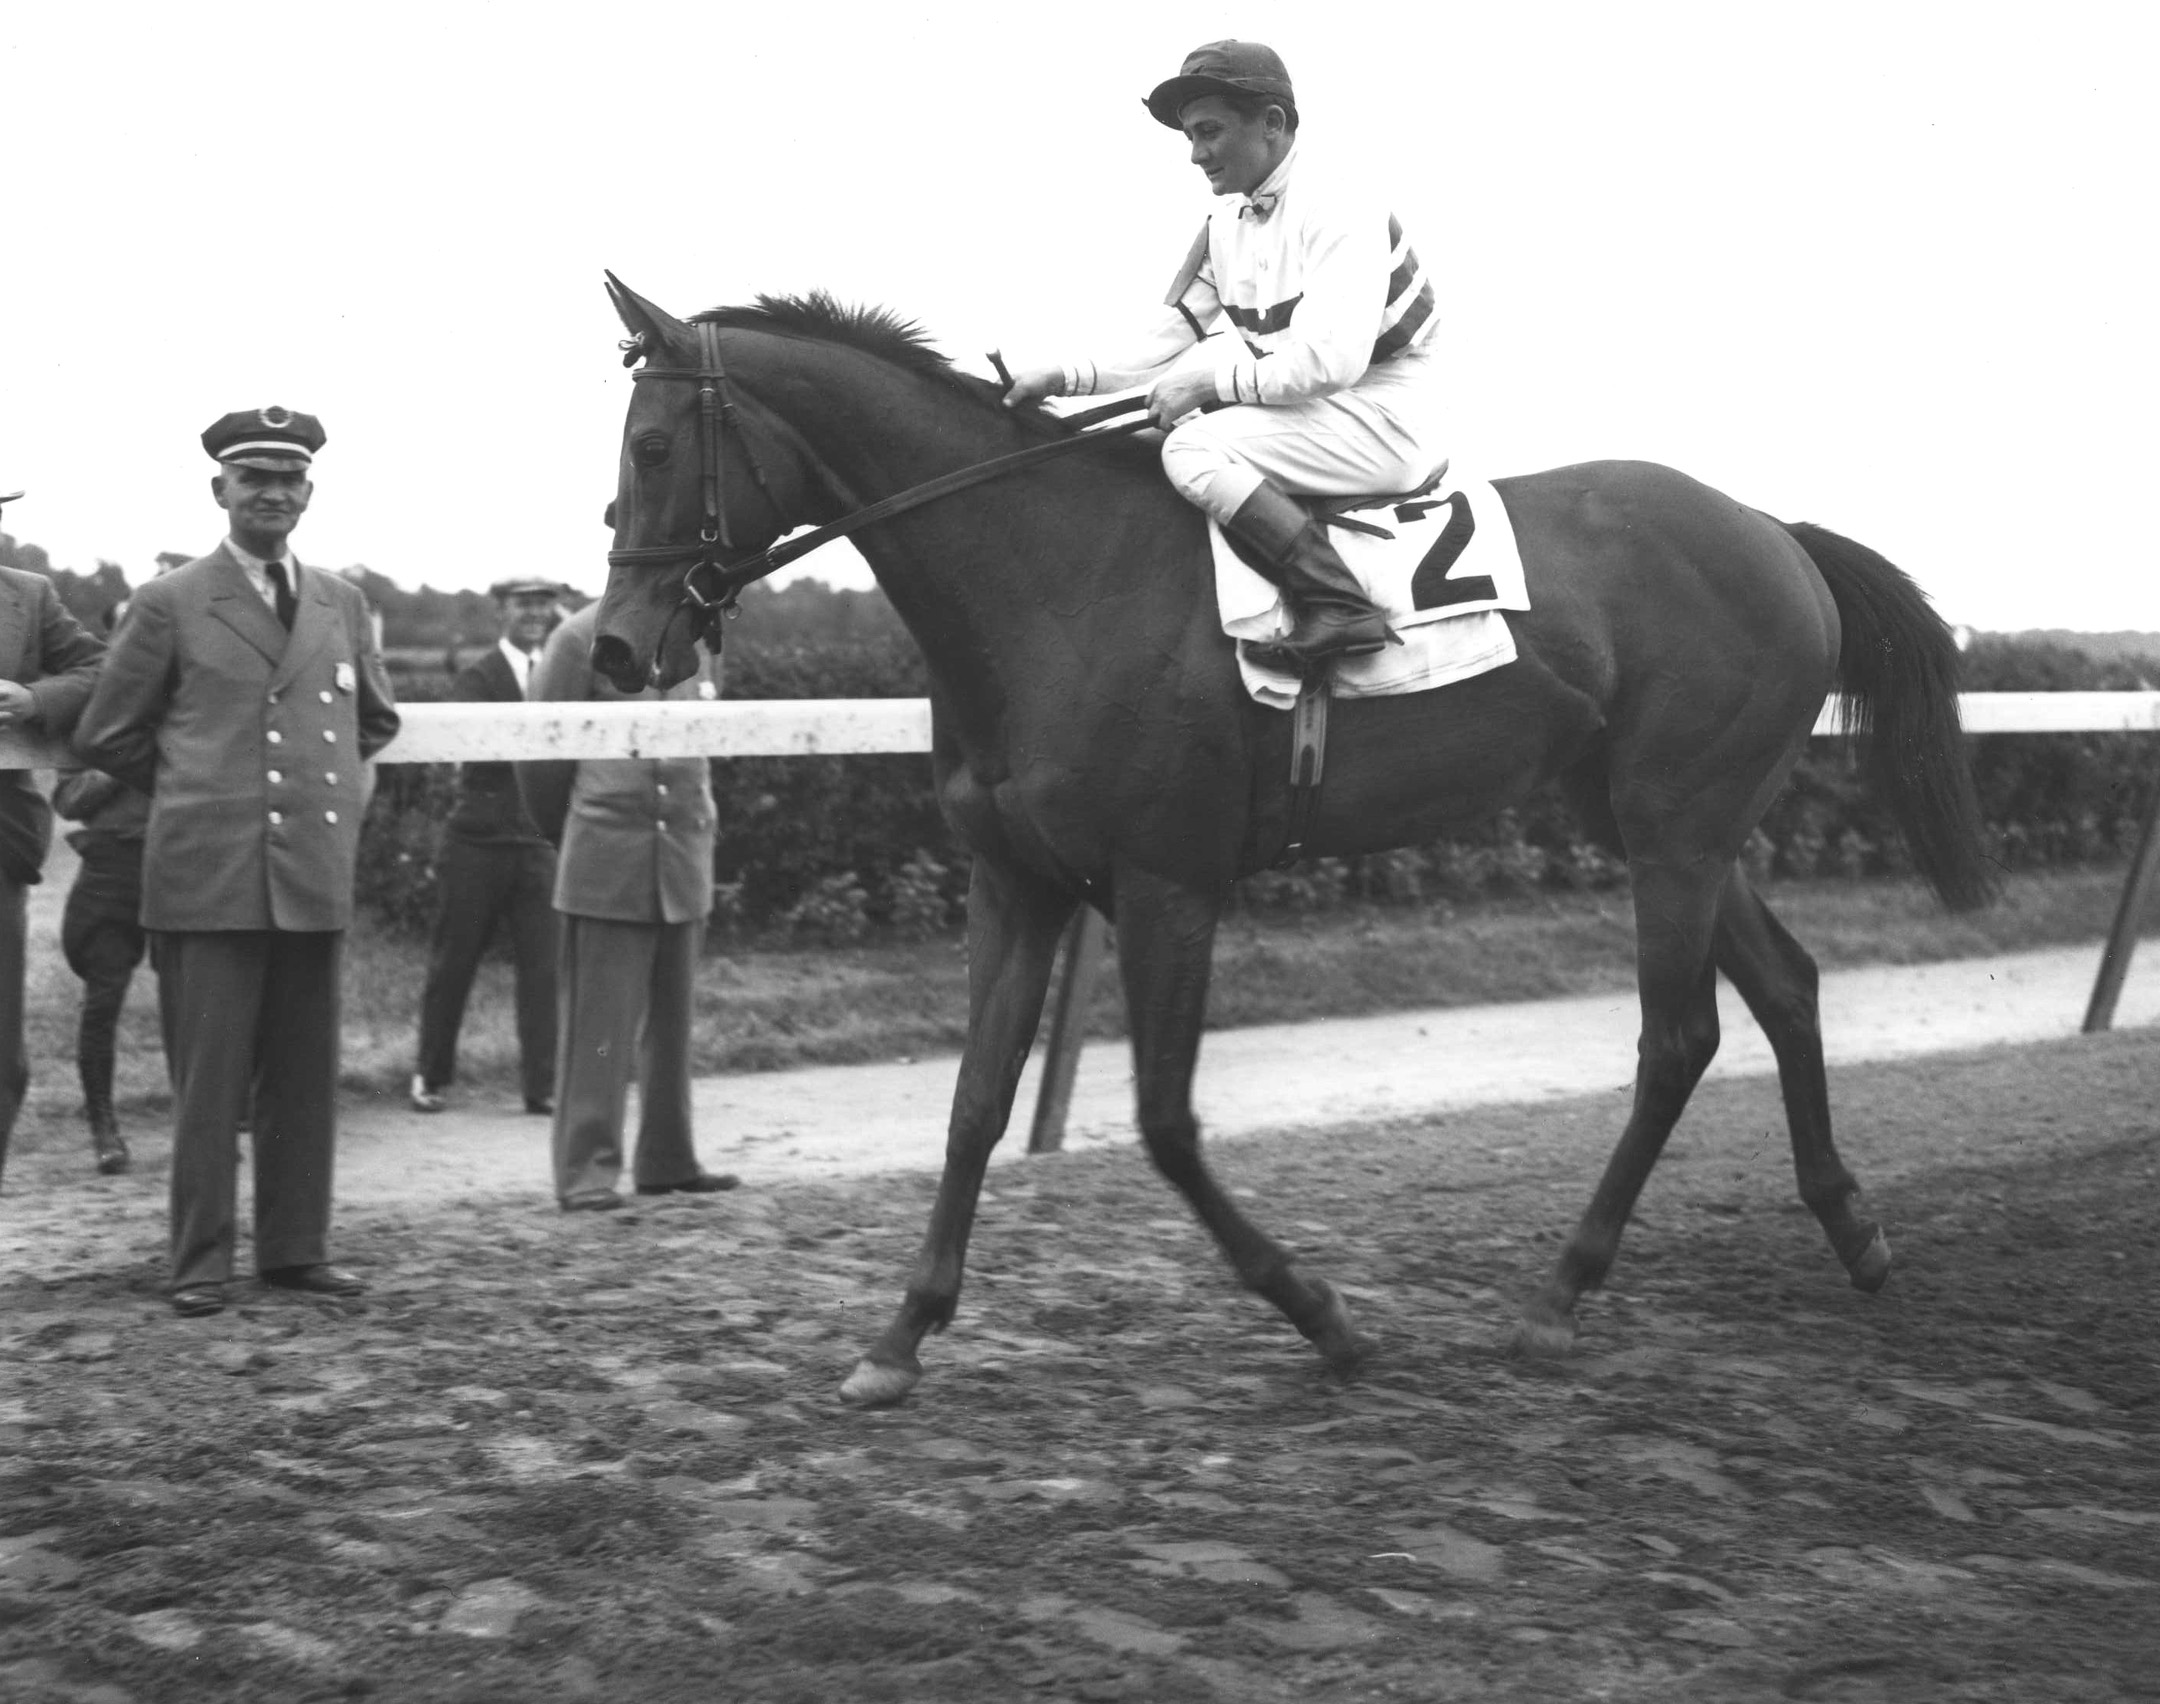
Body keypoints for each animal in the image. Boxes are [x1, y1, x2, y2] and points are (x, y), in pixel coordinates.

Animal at [591, 278, 1987, 1399]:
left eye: (652, 444)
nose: (614, 646)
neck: (1051, 582)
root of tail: (1775, 531)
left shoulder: (1168, 883)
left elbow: (1163, 1122)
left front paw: (1324, 1317)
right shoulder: (1017, 880)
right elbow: (977, 1100)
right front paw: (901, 1336)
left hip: (1677, 825)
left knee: (1680, 1035)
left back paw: (1558, 1296)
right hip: (1664, 822)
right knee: (1786, 987)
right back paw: (1851, 1230)